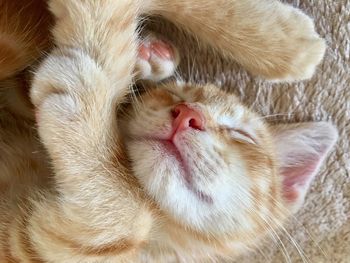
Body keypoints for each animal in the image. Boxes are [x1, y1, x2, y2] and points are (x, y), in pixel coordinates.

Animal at [0, 0, 336, 262]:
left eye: (242, 135)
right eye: (173, 96)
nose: (187, 115)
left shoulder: (28, 243)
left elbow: (123, 220)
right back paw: (284, 43)